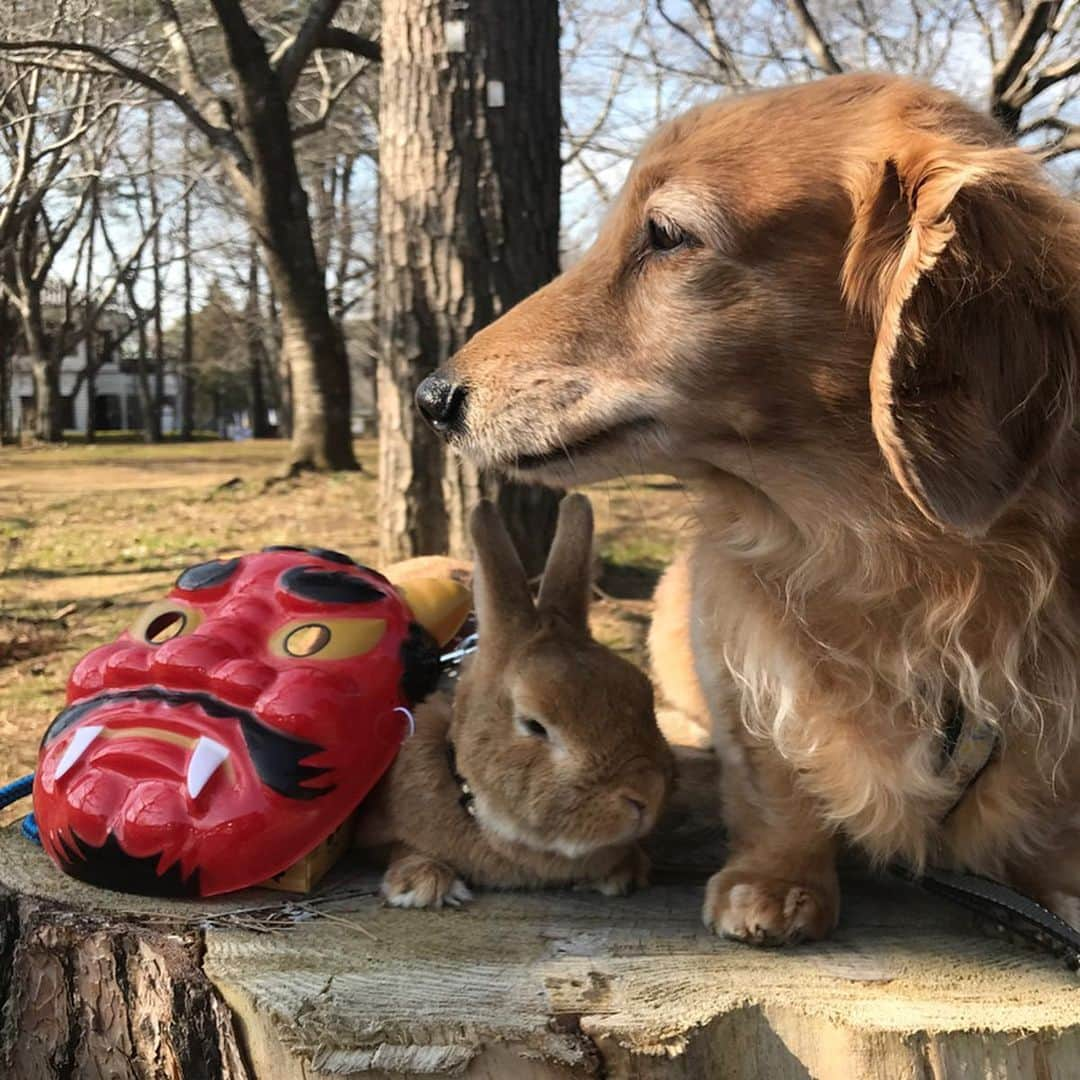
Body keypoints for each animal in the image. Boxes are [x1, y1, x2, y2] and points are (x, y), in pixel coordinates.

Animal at [356, 494, 673, 907]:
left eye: (643, 694)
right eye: (535, 724)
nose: (646, 795)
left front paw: (622, 871)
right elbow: (401, 846)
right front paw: (422, 884)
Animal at [414, 71, 1080, 941]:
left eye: (666, 234)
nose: (431, 398)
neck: (873, 549)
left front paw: (1051, 884)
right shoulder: (737, 647)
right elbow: (772, 771)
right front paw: (775, 878)